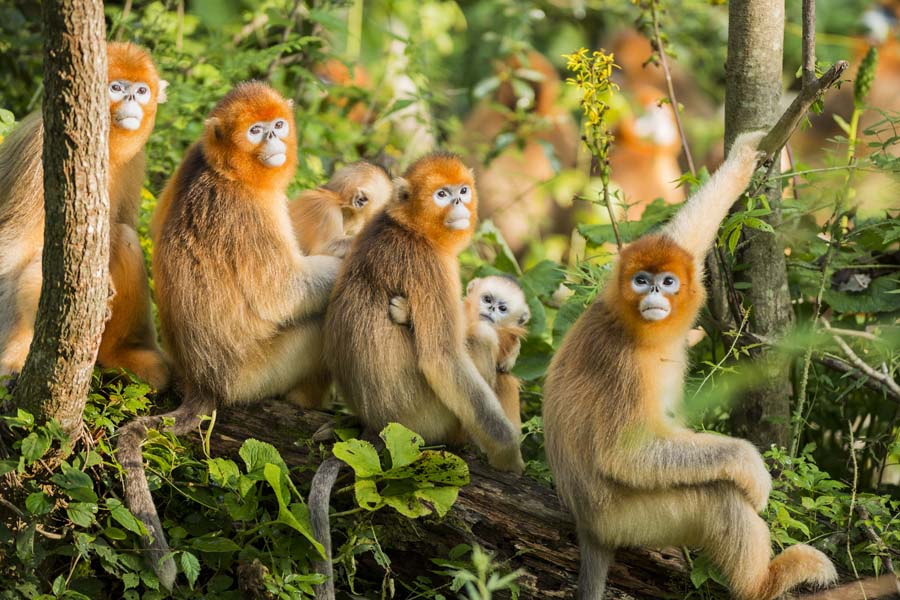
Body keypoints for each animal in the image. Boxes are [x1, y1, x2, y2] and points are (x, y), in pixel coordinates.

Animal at [0, 42, 171, 390]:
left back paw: (123, 355)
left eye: (141, 90)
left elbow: (123, 228)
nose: (132, 99)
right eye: (116, 88)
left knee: (123, 236)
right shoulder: (39, 150)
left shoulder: (136, 159)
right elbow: (15, 246)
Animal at [118, 81, 342, 592]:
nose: (274, 140)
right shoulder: (248, 210)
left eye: (277, 125)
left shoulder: (190, 157)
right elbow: (282, 295)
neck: (224, 170)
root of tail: (204, 383)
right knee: (317, 321)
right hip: (256, 374)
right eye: (256, 131)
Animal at [540, 132, 836, 600]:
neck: (635, 328)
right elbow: (625, 454)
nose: (654, 295)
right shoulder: (621, 364)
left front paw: (743, 158)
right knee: (718, 497)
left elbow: (688, 234)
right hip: (637, 518)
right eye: (641, 280)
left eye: (668, 281)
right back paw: (762, 584)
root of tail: (589, 529)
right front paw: (750, 465)